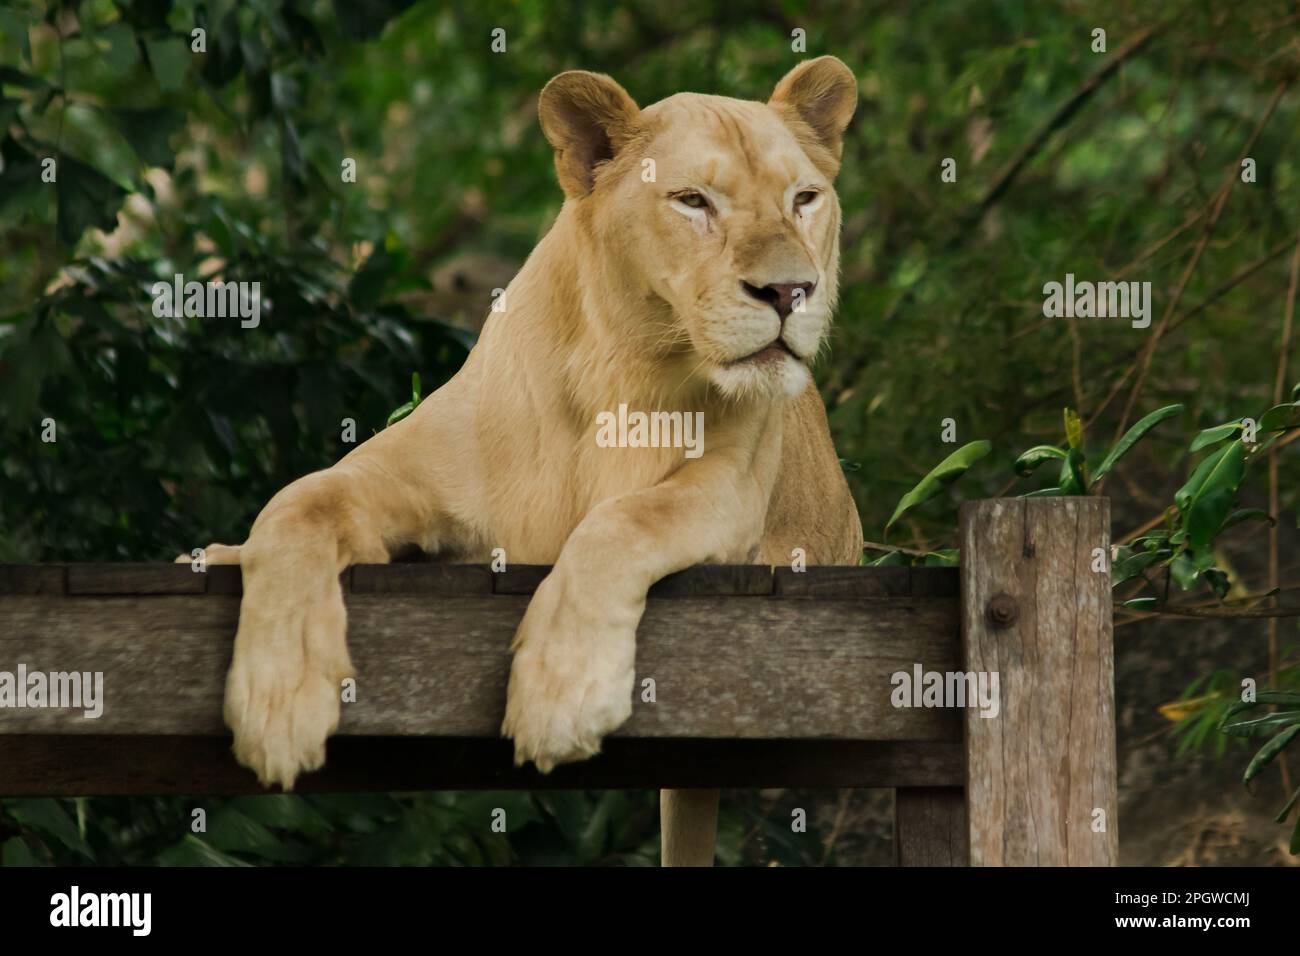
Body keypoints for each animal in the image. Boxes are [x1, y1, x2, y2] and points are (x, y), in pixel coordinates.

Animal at [180, 56, 865, 865]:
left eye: (804, 199)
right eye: (693, 201)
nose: (791, 291)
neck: (628, 370)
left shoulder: (730, 491)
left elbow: (622, 521)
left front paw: (560, 694)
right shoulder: (400, 476)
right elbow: (296, 505)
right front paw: (278, 699)